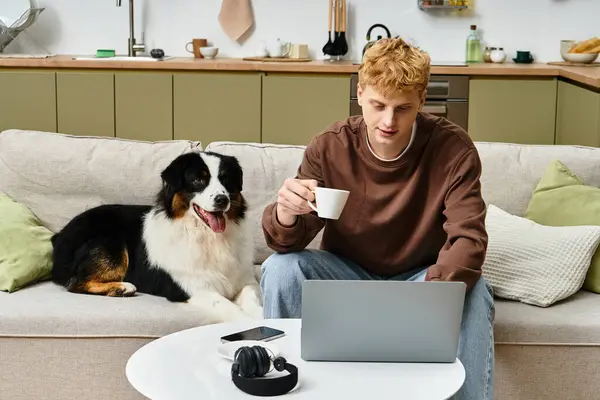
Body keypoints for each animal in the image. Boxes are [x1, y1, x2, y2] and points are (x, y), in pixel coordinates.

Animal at [52, 152, 264, 324]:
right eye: (198, 180)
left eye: (226, 179)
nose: (222, 200)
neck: (208, 236)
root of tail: (59, 236)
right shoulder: (190, 288)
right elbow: (228, 306)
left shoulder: (246, 280)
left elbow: (253, 300)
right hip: (110, 245)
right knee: (75, 283)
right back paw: (122, 287)